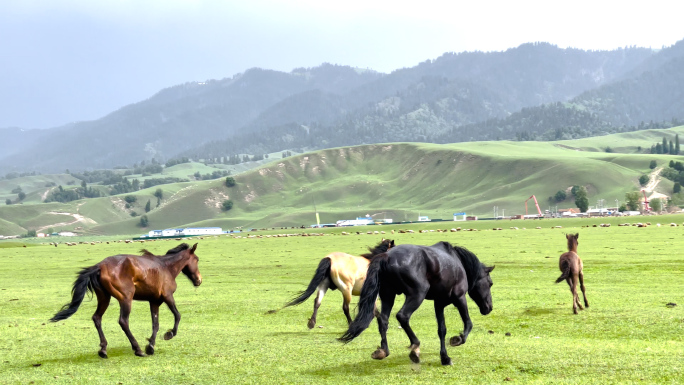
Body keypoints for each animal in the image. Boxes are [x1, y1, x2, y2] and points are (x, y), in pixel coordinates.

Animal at [49, 243, 202, 356]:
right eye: (197, 259)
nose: (199, 280)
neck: (166, 267)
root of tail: (99, 266)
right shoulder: (168, 296)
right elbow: (177, 315)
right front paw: (169, 334)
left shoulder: (154, 301)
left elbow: (155, 324)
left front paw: (150, 346)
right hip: (126, 299)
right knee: (123, 321)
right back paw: (137, 349)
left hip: (104, 298)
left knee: (97, 318)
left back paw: (103, 349)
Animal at [340, 242, 494, 364]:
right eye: (490, 283)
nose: (489, 307)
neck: (458, 262)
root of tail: (387, 256)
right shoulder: (460, 298)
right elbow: (468, 323)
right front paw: (458, 339)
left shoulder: (439, 303)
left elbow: (441, 330)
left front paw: (444, 358)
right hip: (417, 294)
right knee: (402, 316)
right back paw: (415, 346)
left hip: (388, 295)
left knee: (383, 319)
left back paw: (383, 350)